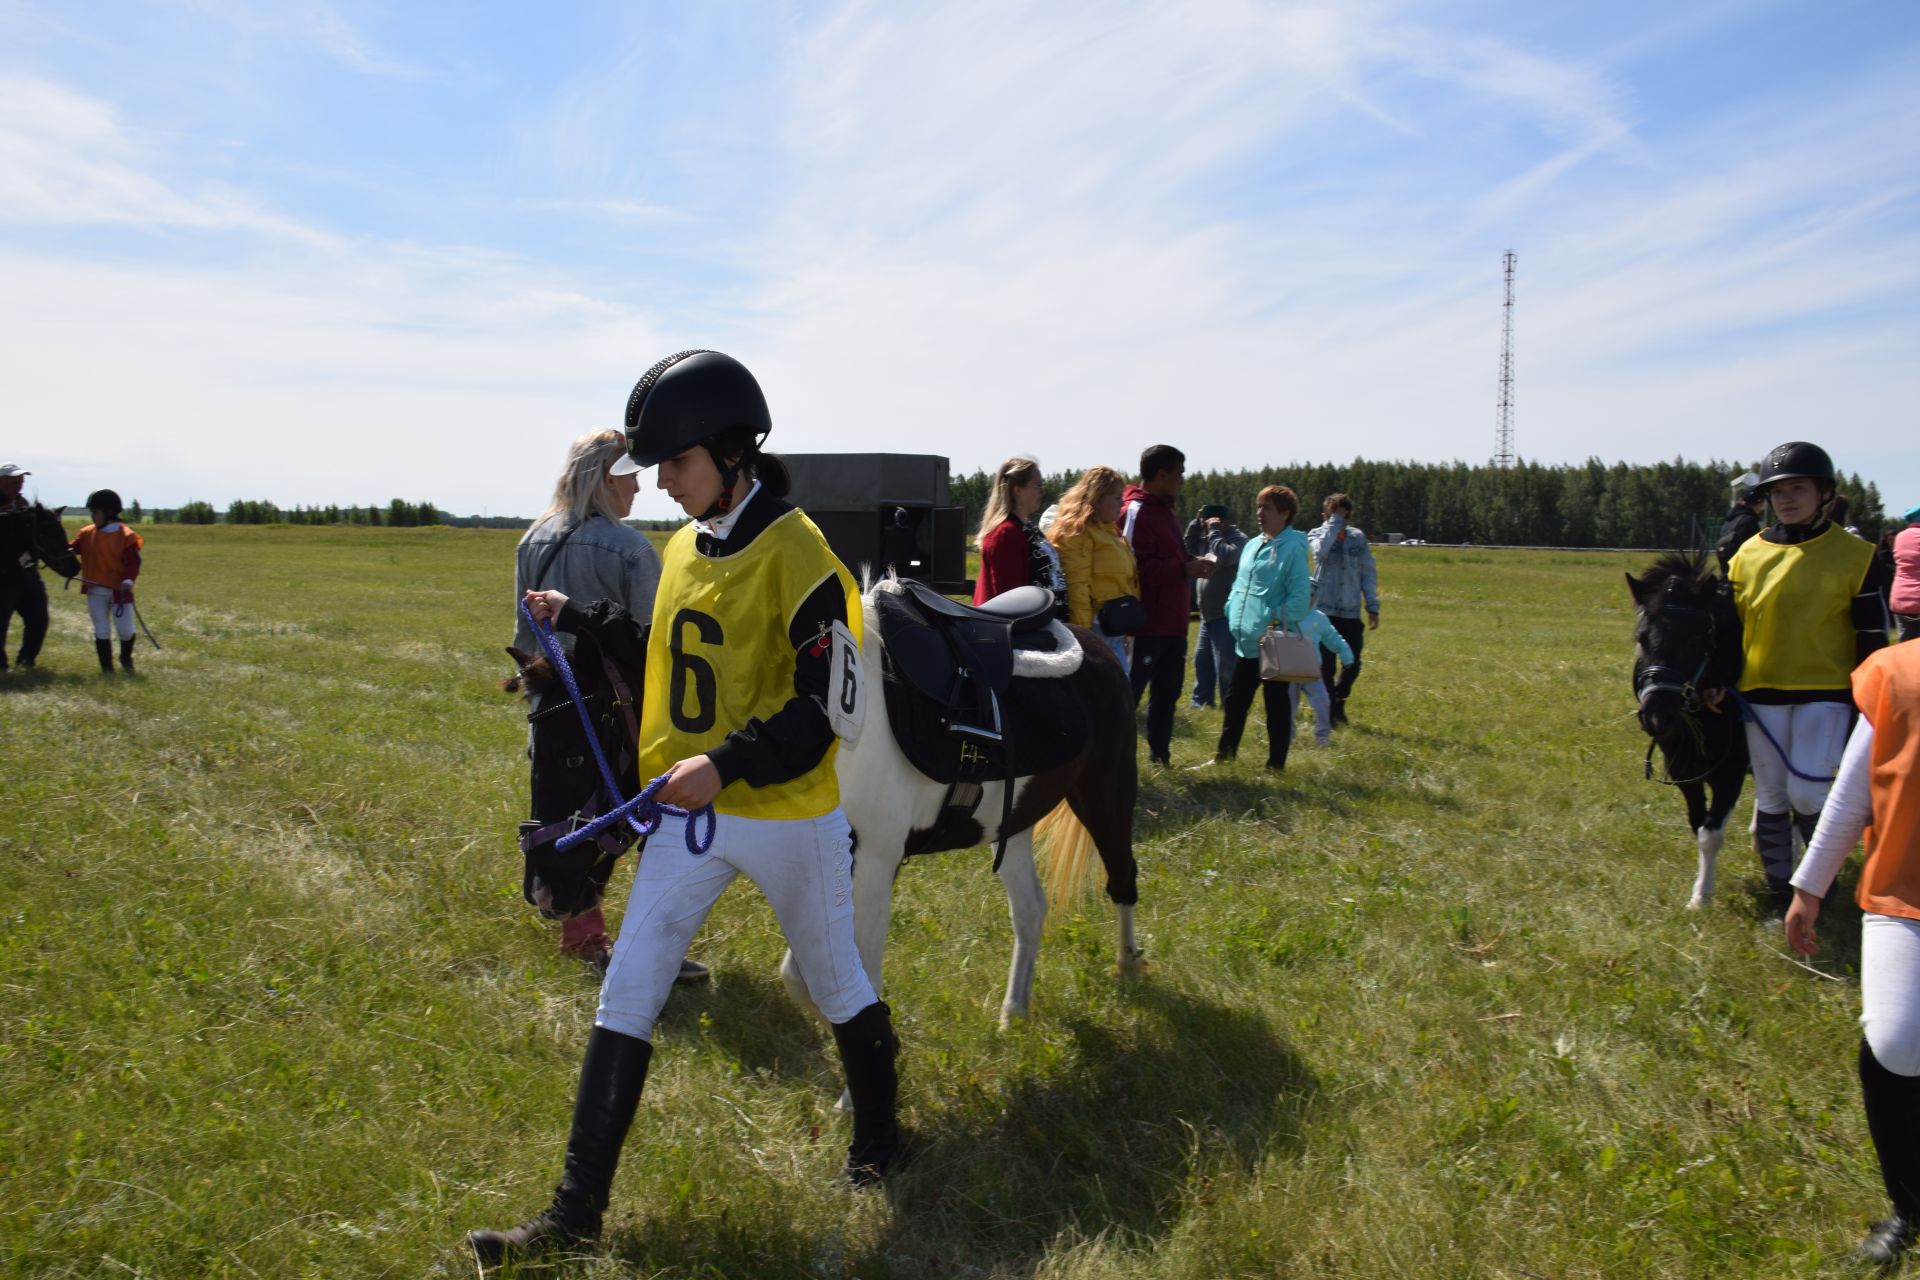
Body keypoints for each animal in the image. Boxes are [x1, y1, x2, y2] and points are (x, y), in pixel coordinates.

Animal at [1628, 552, 1751, 909]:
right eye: (1642, 638)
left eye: (1697, 639)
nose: (1657, 715)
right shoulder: (1684, 771)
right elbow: (1698, 825)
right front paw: (1700, 891)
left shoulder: (1731, 772)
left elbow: (1711, 833)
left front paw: (1700, 897)